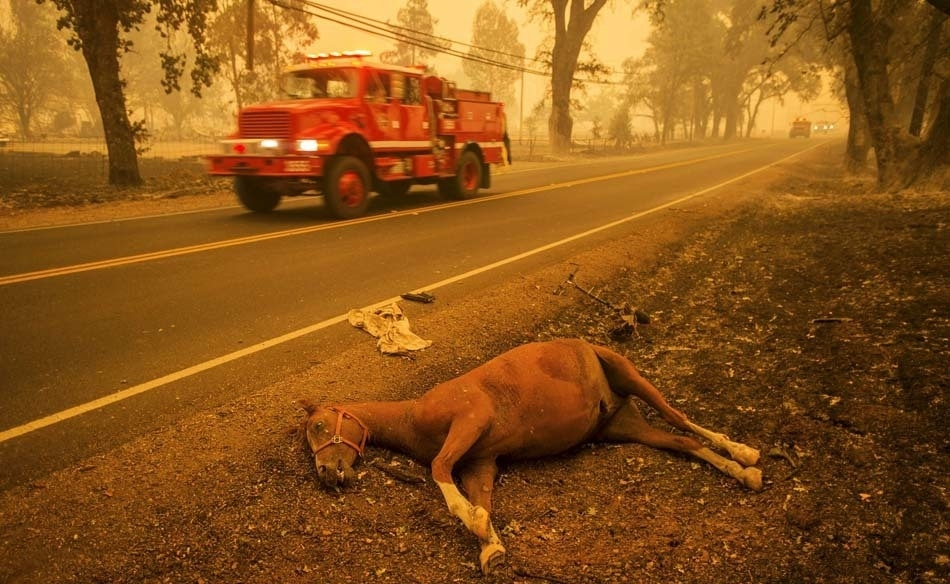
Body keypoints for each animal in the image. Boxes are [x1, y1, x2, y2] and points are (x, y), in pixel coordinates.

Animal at [302, 338, 764, 576]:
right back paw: (744, 474)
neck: (414, 416)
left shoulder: (471, 418)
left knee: (682, 420)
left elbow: (438, 470)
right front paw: (489, 544)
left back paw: (745, 453)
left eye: (320, 426)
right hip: (625, 426)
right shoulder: (480, 463)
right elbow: (481, 499)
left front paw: (475, 523)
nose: (326, 474)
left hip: (630, 376)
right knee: (684, 443)